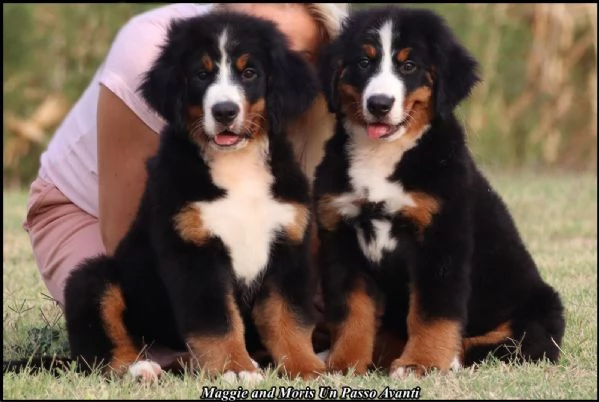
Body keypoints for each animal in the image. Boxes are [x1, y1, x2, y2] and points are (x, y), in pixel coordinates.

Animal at [57, 11, 328, 384]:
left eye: (249, 72)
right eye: (201, 74)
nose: (225, 111)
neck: (238, 165)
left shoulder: (288, 244)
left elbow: (288, 317)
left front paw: (306, 368)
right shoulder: (193, 251)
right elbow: (216, 321)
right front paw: (235, 369)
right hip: (95, 278)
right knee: (100, 347)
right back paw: (139, 368)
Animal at [314, 4, 568, 378]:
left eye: (408, 66)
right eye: (363, 62)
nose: (379, 103)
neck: (382, 155)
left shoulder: (440, 241)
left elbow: (433, 313)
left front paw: (422, 363)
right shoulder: (342, 238)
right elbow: (352, 313)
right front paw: (344, 364)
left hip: (536, 312)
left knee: (501, 344)